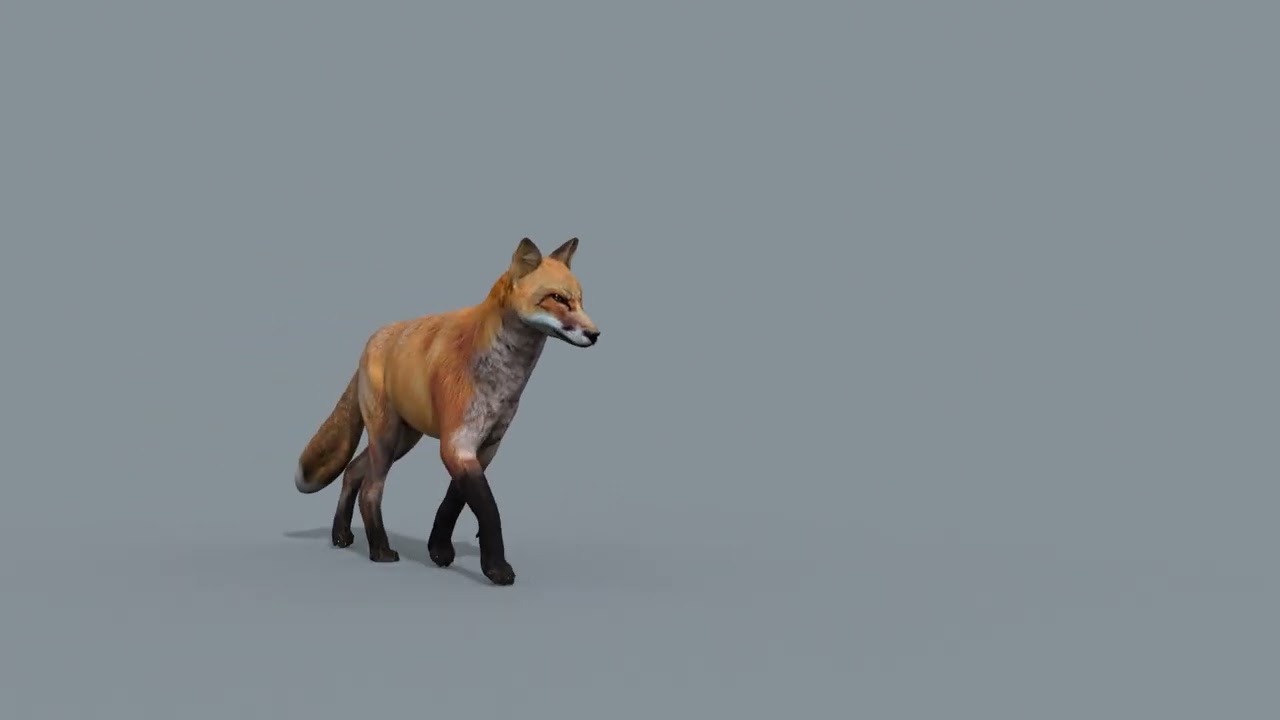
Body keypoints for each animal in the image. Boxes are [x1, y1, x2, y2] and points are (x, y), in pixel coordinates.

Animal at [292, 236, 600, 585]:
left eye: (580, 301)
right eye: (558, 299)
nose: (595, 334)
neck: (504, 379)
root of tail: (371, 341)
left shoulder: (486, 446)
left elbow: (454, 501)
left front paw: (439, 549)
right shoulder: (457, 442)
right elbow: (488, 509)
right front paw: (496, 568)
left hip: (402, 440)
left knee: (353, 472)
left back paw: (341, 535)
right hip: (387, 437)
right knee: (370, 489)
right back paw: (380, 550)